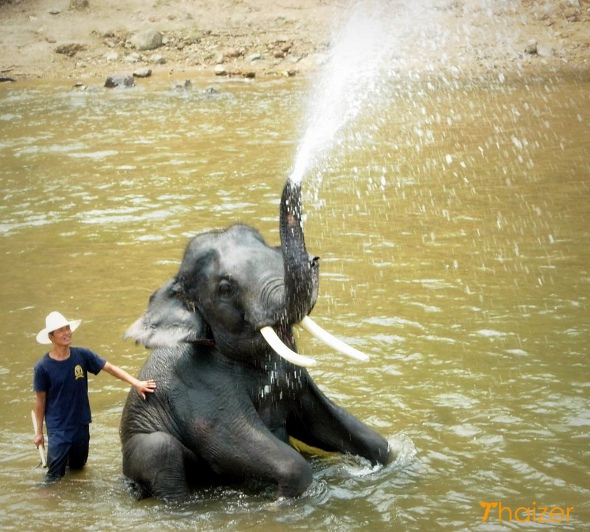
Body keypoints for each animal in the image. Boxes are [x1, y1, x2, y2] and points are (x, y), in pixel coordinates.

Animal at [120, 178, 394, 498]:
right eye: (225, 289)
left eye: (275, 254)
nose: (314, 260)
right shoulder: (201, 389)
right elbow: (230, 443)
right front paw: (286, 497)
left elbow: (329, 422)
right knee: (161, 450)